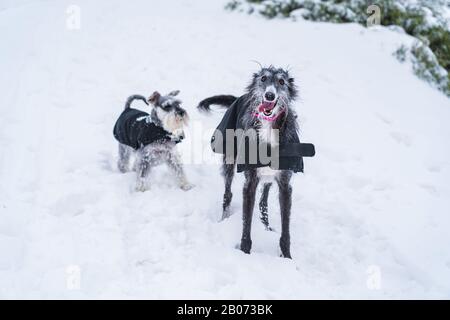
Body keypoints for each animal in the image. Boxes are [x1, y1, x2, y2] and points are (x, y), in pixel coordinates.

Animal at [198, 66, 300, 258]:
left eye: (281, 81)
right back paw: (223, 219)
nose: (269, 95)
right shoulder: (250, 182)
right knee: (228, 194)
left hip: (268, 178)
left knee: (263, 203)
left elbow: (286, 229)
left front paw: (287, 257)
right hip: (229, 161)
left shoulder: (285, 184)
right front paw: (245, 252)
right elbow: (247, 223)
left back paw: (266, 227)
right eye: (263, 78)